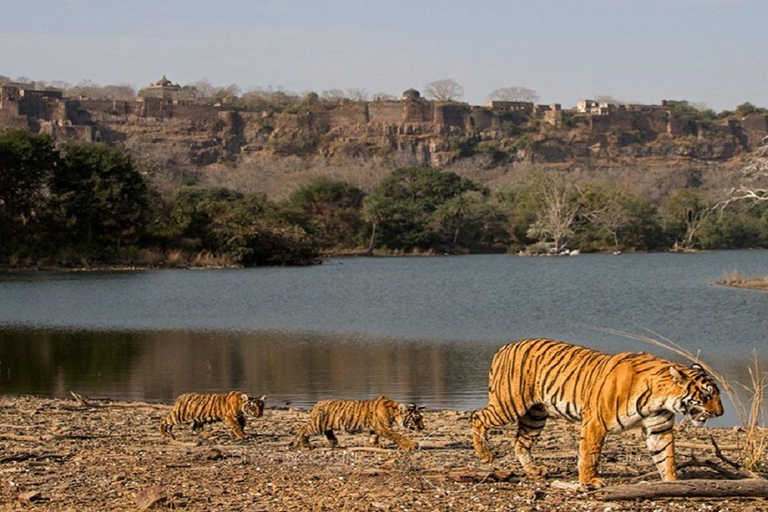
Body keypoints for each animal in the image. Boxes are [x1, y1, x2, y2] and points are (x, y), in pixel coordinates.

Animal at [296, 394, 426, 450]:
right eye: (417, 419)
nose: (422, 427)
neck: (393, 411)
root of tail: (317, 403)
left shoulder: (375, 427)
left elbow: (374, 436)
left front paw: (375, 444)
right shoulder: (383, 427)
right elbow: (398, 436)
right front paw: (411, 445)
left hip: (326, 425)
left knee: (328, 432)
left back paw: (334, 441)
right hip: (317, 425)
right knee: (303, 429)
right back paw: (306, 445)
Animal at [472, 338, 724, 486]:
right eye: (707, 394)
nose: (721, 413)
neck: (660, 400)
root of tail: (504, 347)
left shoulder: (658, 429)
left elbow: (666, 457)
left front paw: (672, 482)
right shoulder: (596, 422)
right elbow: (590, 454)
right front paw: (590, 480)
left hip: (535, 415)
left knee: (520, 442)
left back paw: (534, 470)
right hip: (509, 405)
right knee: (477, 416)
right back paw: (484, 454)